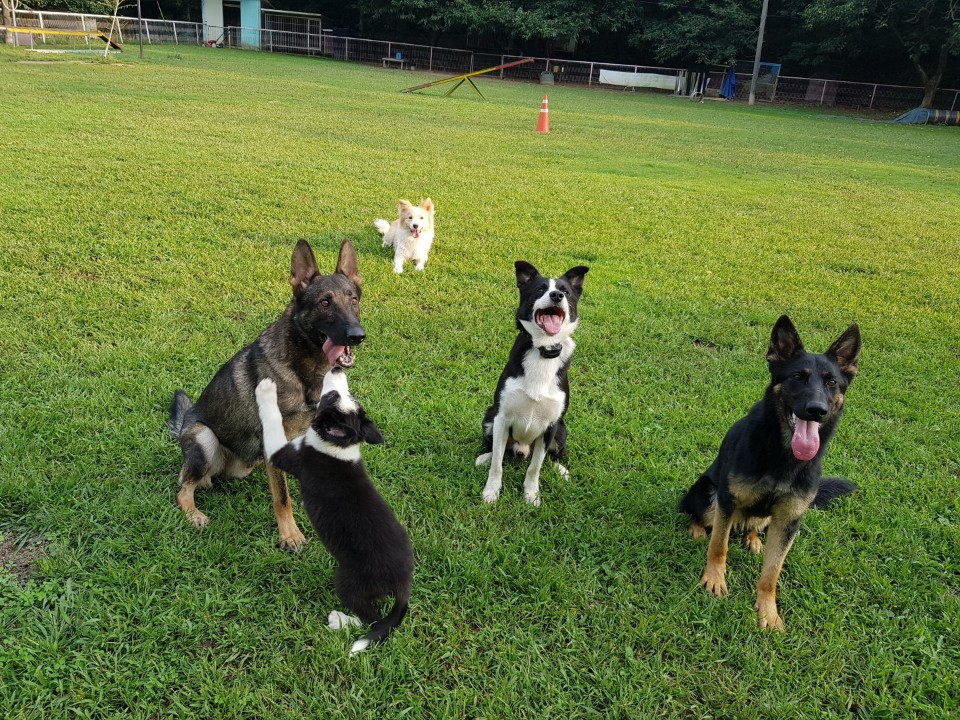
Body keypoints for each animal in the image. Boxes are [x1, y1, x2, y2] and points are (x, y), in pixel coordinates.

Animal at [167, 239, 366, 548]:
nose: (357, 335)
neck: (304, 368)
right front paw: (290, 534)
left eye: (353, 300)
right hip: (204, 438)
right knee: (184, 488)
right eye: (325, 303)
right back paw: (194, 513)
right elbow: (282, 498)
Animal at [253, 368, 410, 656]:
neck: (338, 446)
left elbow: (273, 422)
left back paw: (339, 620)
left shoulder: (285, 453)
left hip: (349, 582)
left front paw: (267, 389)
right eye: (345, 395)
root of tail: (403, 584)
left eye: (330, 397)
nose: (337, 369)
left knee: (372, 619)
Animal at [478, 260, 588, 506]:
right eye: (539, 289)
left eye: (566, 291)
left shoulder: (550, 426)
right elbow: (497, 463)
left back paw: (561, 470)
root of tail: (521, 450)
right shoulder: (502, 417)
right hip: (489, 416)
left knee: (548, 457)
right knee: (498, 450)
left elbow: (535, 466)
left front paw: (531, 494)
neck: (542, 349)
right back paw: (484, 457)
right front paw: (491, 492)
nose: (556, 295)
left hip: (562, 430)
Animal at [676, 316, 864, 632]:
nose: (817, 410)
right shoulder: (727, 501)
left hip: (766, 519)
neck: (783, 456)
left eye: (832, 382)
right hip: (706, 494)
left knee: (754, 526)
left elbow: (771, 573)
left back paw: (753, 540)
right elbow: (719, 547)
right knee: (703, 518)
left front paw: (768, 612)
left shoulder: (789, 520)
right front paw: (714, 579)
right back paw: (698, 530)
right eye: (797, 377)